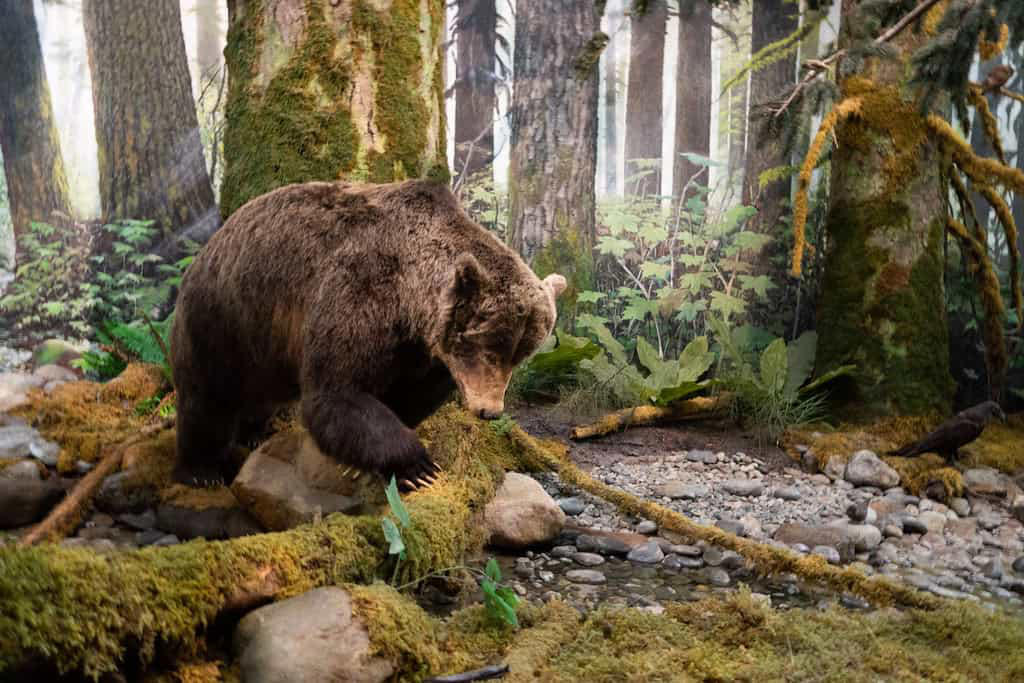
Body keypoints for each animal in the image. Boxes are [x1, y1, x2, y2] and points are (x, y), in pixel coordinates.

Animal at [170, 179, 565, 488]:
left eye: (520, 355)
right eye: (490, 347)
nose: (490, 411)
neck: (411, 301)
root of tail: (208, 247)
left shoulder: (421, 351)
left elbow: (407, 395)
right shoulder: (360, 291)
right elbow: (339, 393)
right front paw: (418, 466)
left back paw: (254, 432)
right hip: (225, 318)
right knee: (207, 398)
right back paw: (201, 469)